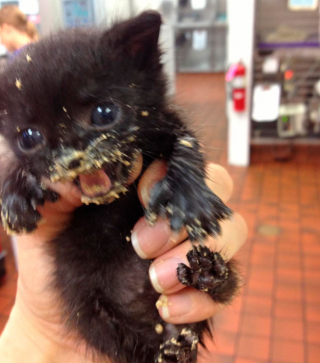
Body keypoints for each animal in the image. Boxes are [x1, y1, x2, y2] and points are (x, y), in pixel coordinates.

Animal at [0, 11, 239, 363]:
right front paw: (15, 198)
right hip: (88, 310)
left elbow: (186, 143)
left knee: (225, 289)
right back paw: (171, 348)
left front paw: (189, 198)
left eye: (104, 113)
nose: (72, 156)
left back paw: (209, 275)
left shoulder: (168, 122)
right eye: (29, 137)